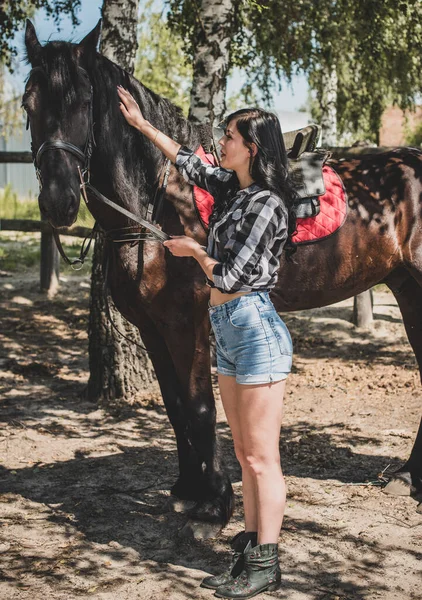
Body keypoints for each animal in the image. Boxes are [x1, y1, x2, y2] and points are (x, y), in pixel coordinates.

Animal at [23, 21, 422, 536]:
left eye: (82, 102)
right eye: (28, 104)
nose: (59, 202)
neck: (158, 199)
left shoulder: (187, 324)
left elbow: (199, 406)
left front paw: (214, 503)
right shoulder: (152, 327)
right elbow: (174, 406)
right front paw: (186, 489)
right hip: (409, 292)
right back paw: (408, 477)